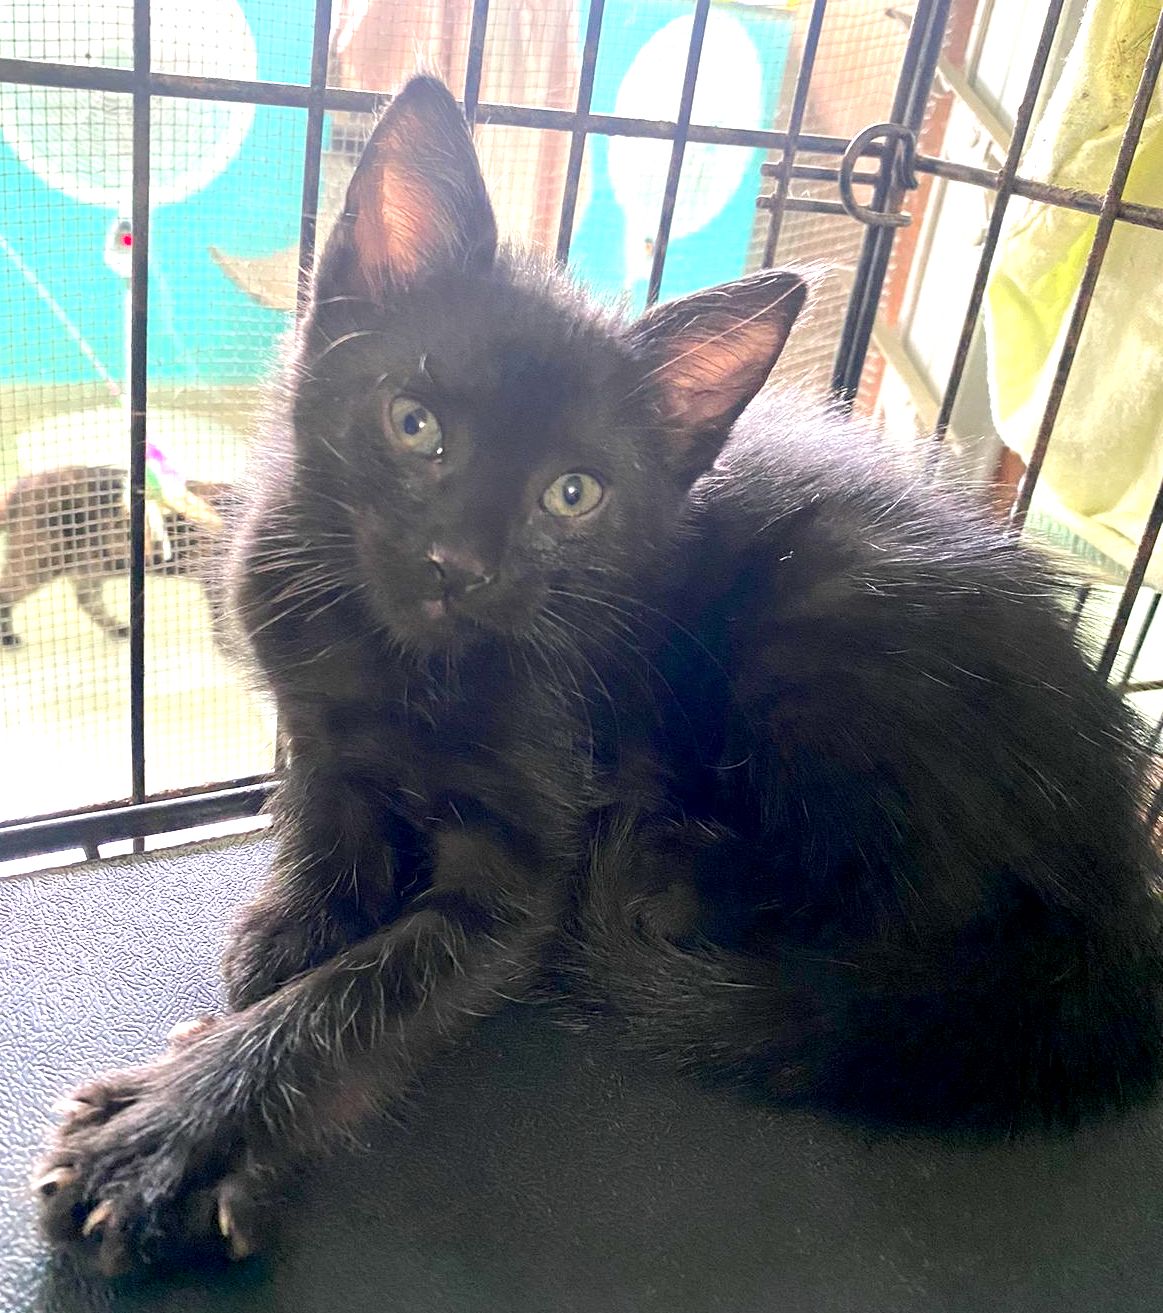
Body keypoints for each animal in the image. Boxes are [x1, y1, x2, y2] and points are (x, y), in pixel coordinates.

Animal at [36, 74, 1163, 1270]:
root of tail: (1119, 883)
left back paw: (674, 870)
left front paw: (170, 1134)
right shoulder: (308, 695)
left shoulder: (527, 865)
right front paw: (292, 924)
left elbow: (366, 992)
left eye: (570, 495)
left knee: (892, 910)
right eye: (413, 424)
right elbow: (324, 807)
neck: (400, 662)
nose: (459, 565)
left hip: (831, 611)